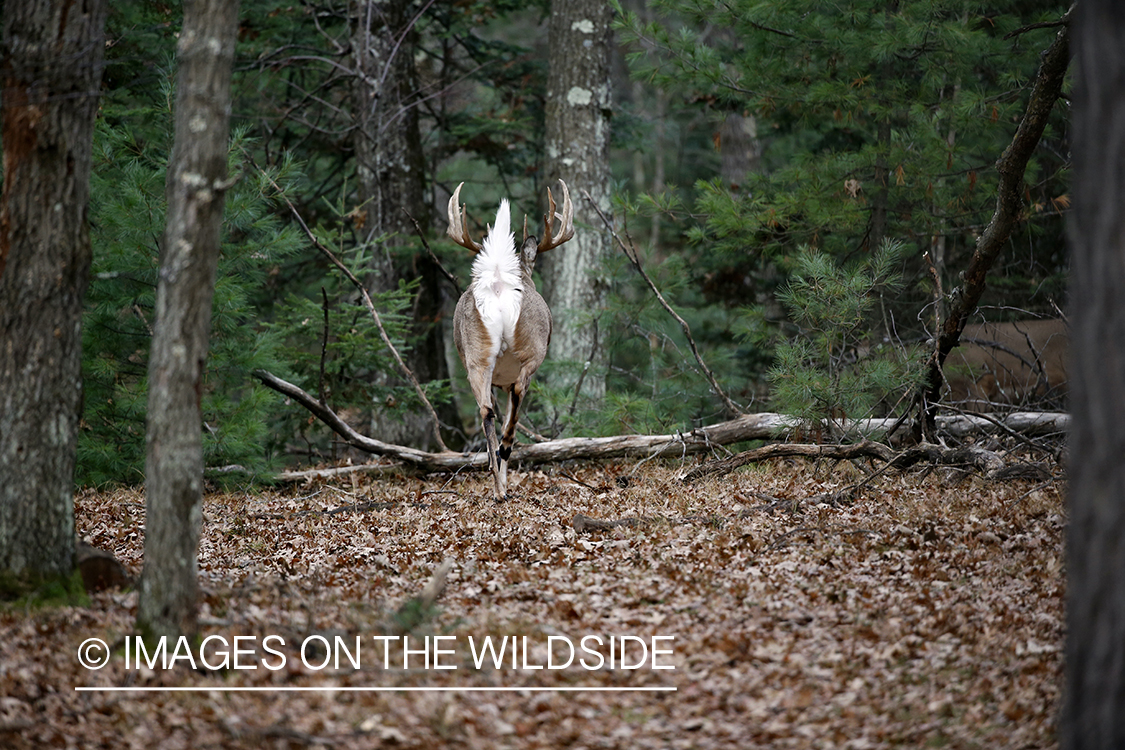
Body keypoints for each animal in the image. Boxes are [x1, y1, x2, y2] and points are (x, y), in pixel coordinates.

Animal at [445, 179, 576, 499]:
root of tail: (498, 283)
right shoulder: (509, 376)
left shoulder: (495, 379)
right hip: (532, 351)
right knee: (515, 403)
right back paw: (504, 467)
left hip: (476, 357)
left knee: (486, 411)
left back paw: (497, 487)